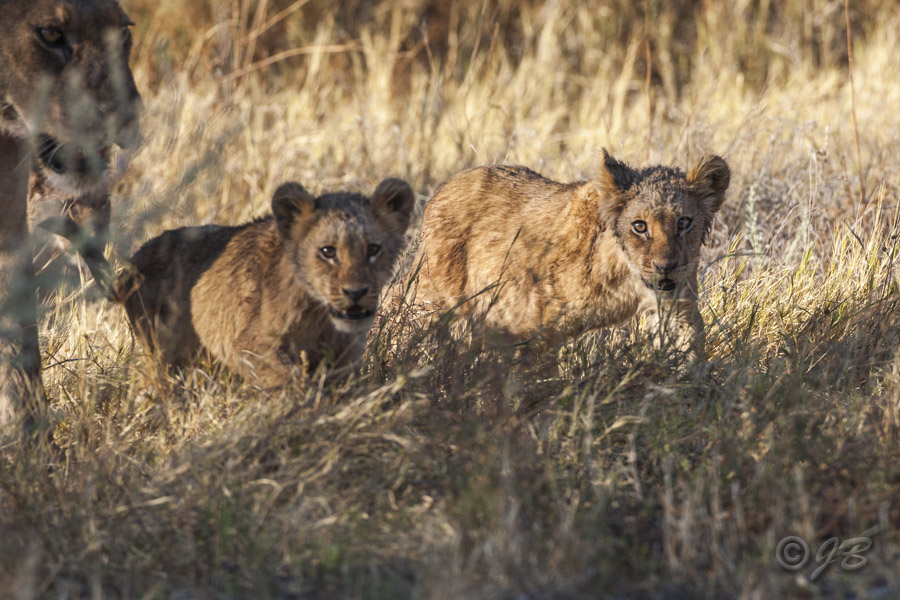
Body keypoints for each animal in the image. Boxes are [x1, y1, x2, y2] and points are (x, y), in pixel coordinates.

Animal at [41, 179, 415, 386]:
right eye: (328, 251)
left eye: (373, 249)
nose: (356, 293)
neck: (319, 315)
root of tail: (132, 268)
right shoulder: (247, 344)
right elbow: (290, 381)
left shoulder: (345, 357)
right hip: (164, 352)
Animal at [408, 150, 730, 357]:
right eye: (640, 226)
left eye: (684, 223)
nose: (666, 266)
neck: (625, 274)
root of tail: (442, 189)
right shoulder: (530, 324)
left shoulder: (677, 309)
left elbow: (690, 352)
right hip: (432, 297)